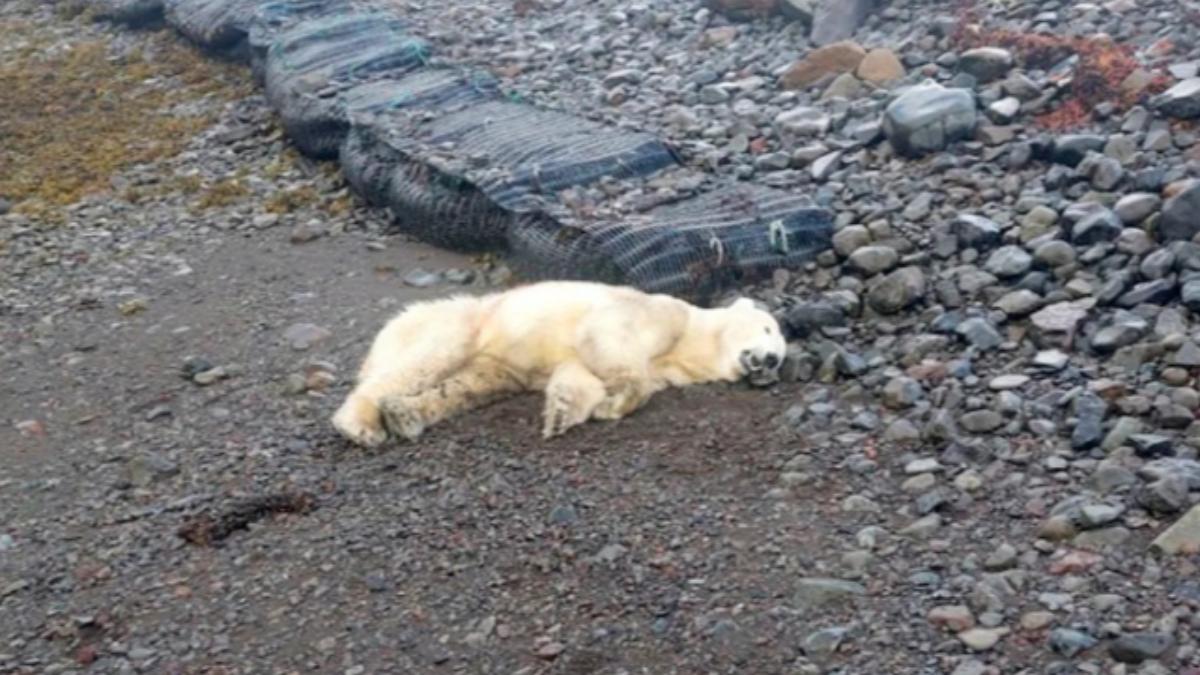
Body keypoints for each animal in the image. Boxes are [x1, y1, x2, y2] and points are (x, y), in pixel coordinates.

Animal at [331, 280, 786, 447]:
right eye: (768, 329)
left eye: (781, 357)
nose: (770, 361)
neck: (692, 342)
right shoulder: (659, 313)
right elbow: (610, 340)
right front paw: (616, 400)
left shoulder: (665, 367)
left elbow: (579, 374)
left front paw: (564, 413)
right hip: (462, 324)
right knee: (424, 362)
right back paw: (361, 424)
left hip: (493, 364)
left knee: (468, 386)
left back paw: (405, 416)